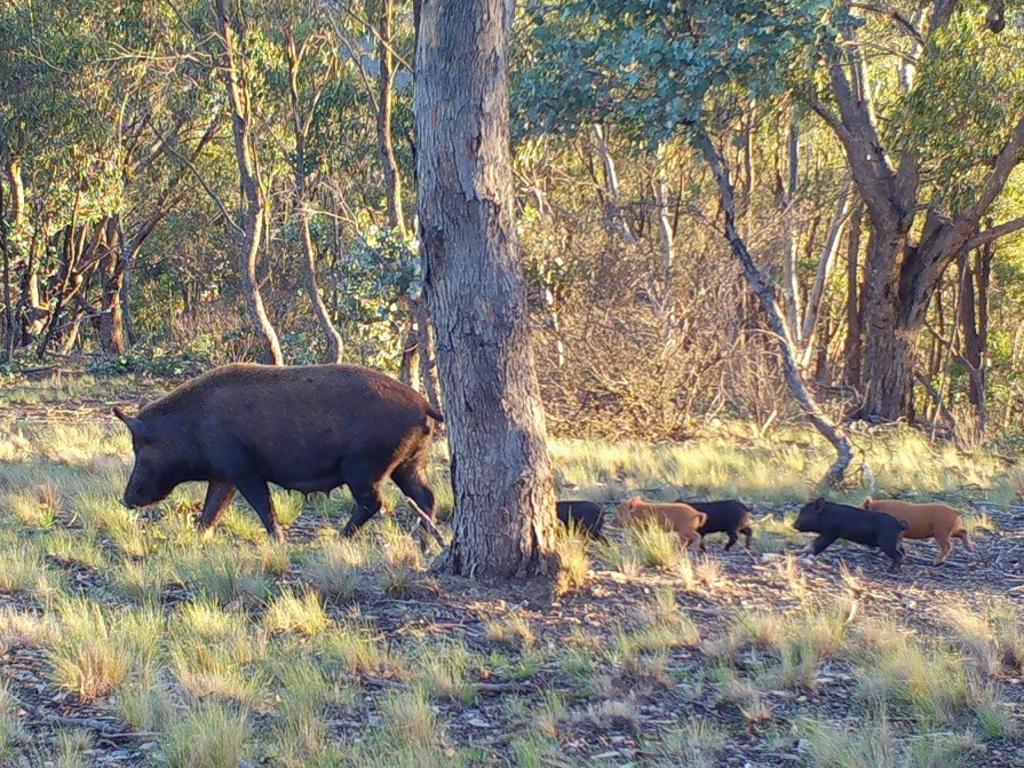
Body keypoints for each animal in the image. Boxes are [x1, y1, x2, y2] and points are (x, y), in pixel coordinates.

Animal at [114, 364, 442, 540]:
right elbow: (211, 510)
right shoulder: (224, 475)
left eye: (141, 449)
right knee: (425, 496)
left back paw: (340, 537)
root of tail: (423, 404)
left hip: (365, 466)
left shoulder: (244, 471)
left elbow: (263, 507)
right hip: (409, 463)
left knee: (374, 502)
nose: (125, 499)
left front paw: (278, 541)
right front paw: (199, 537)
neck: (191, 424)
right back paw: (425, 540)